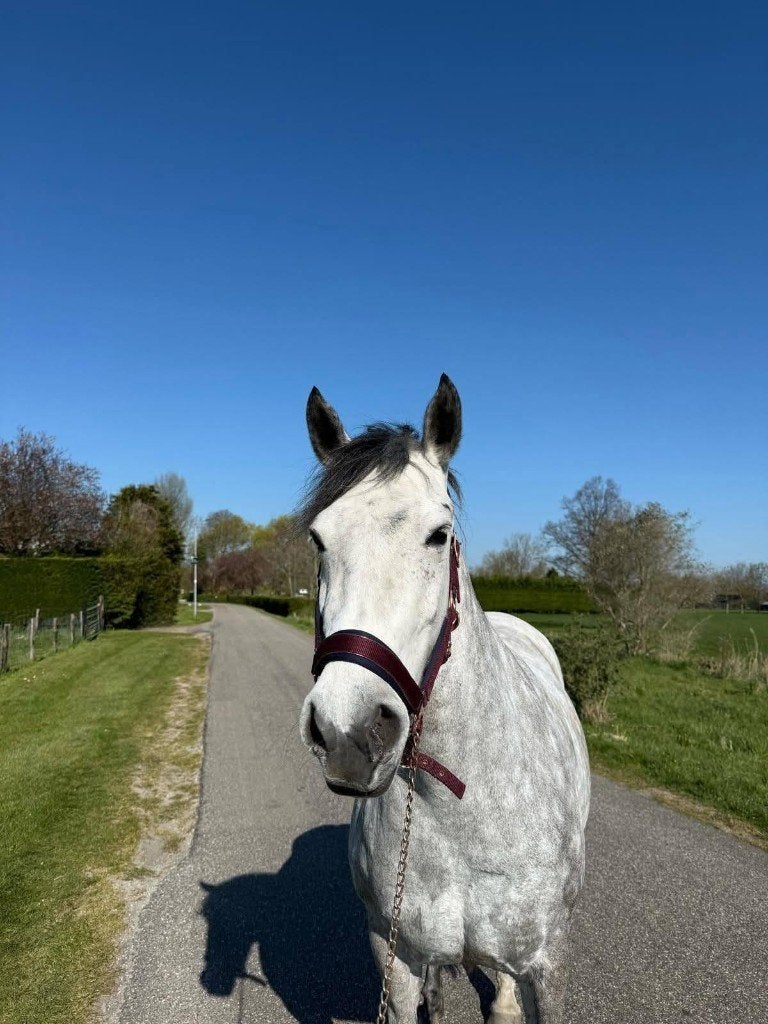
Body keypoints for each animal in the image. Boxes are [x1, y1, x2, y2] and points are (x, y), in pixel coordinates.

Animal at [298, 375, 590, 1024]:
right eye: (318, 539)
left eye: (439, 535)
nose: (348, 732)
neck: (462, 813)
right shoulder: (393, 956)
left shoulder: (550, 966)